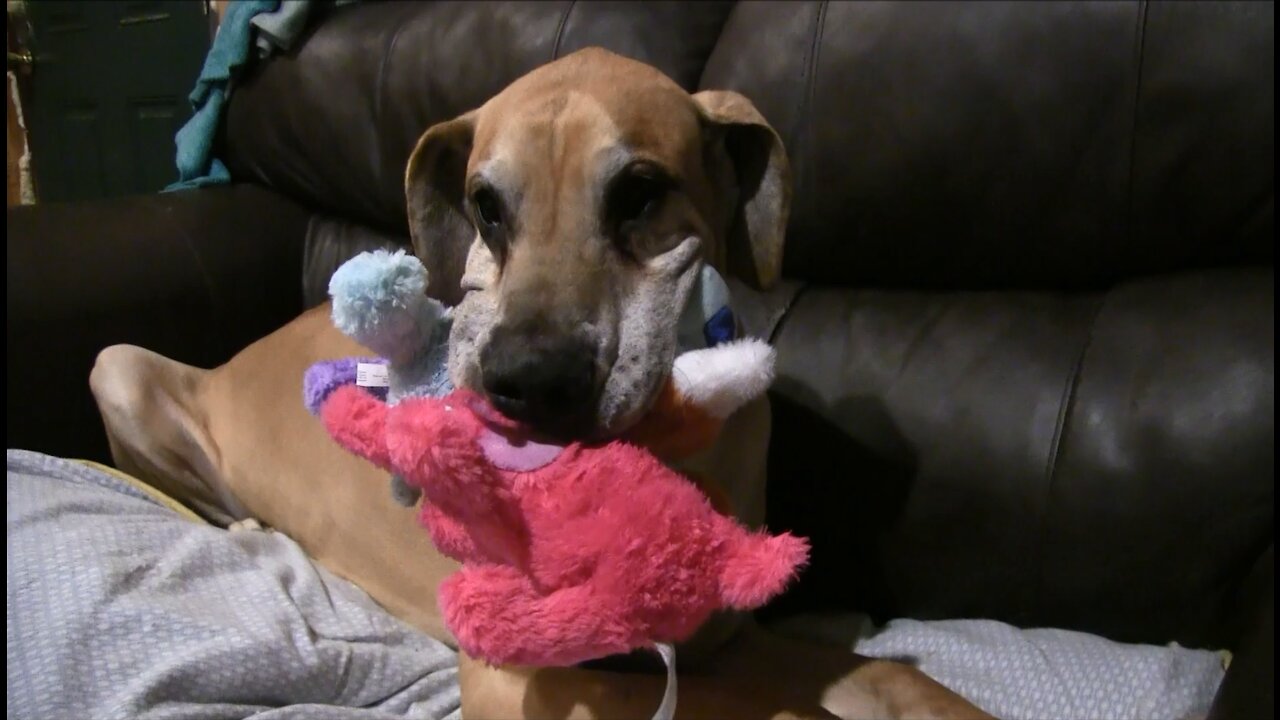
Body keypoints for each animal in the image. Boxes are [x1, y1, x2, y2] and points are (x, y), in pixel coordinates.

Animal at [90, 47, 993, 712]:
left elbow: (887, 672)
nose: (526, 385)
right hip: (119, 367)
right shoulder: (523, 675)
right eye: (485, 205)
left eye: (640, 192)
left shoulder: (724, 638)